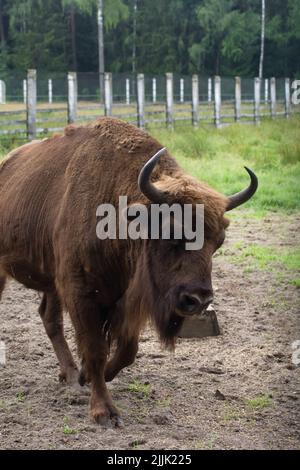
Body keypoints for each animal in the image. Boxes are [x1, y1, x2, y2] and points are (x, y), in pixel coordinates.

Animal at [0, 117, 258, 426]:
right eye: (171, 233)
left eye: (218, 241)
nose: (198, 300)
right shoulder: (80, 293)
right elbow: (96, 349)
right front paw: (103, 411)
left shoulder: (128, 301)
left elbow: (127, 351)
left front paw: (87, 376)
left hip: (51, 282)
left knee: (49, 319)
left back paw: (71, 376)